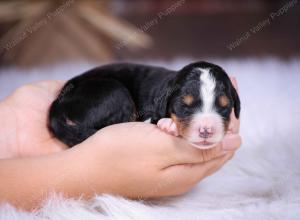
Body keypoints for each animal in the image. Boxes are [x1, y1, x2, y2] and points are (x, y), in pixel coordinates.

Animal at [49, 61, 241, 148]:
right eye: (184, 106)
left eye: (224, 106)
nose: (206, 130)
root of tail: (58, 105)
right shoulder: (147, 115)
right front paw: (170, 124)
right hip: (115, 92)